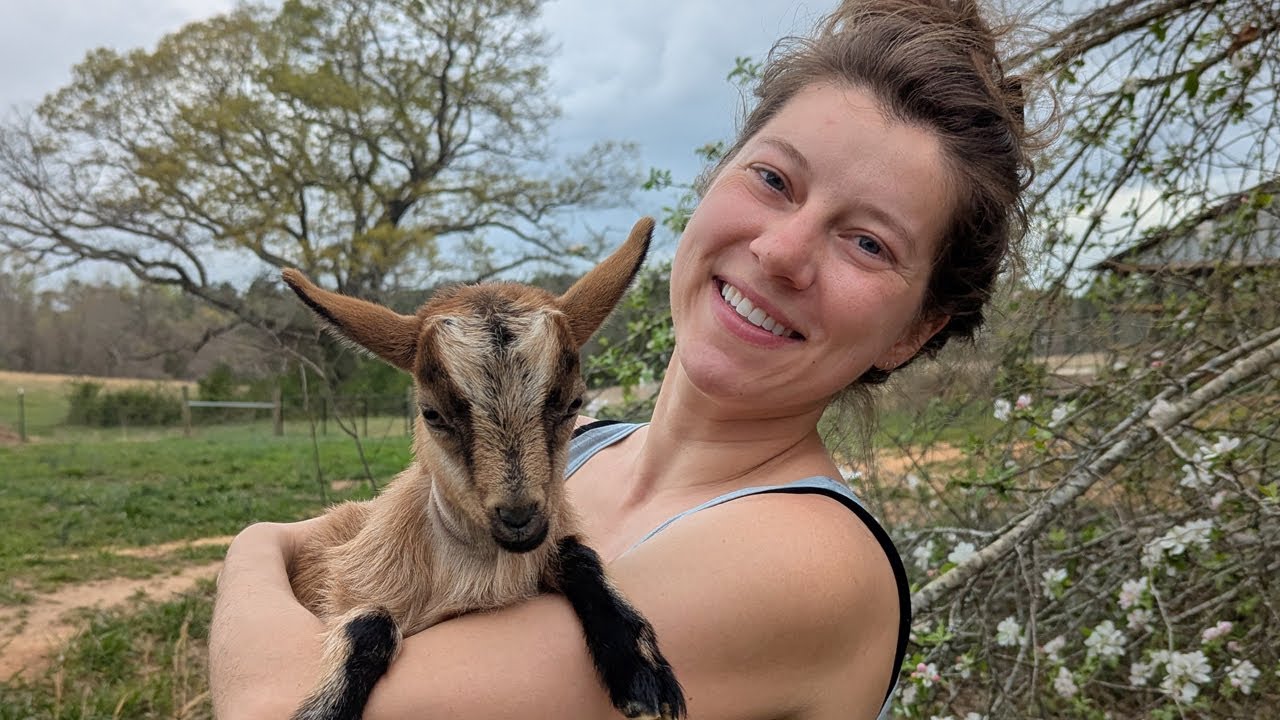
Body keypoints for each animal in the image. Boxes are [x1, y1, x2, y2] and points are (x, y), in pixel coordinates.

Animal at [279, 218, 684, 720]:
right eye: (432, 414)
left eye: (574, 403)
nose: (519, 518)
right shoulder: (347, 587)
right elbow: (369, 623)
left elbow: (579, 555)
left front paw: (641, 668)